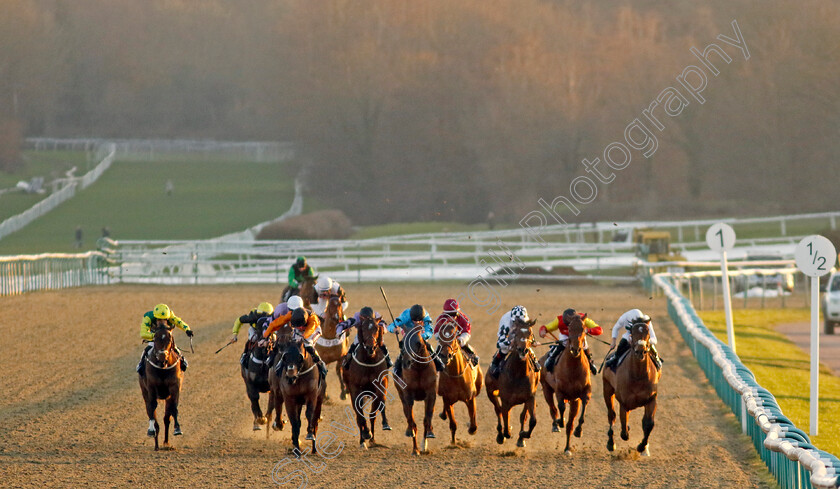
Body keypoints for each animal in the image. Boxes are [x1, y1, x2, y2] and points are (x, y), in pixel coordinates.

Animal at [342, 312, 392, 446]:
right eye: (363, 328)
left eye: (376, 328)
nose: (370, 347)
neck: (369, 361)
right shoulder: (355, 389)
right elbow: (359, 413)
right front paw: (365, 433)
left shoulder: (380, 385)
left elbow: (379, 404)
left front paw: (384, 424)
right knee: (358, 414)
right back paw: (363, 439)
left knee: (372, 415)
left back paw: (372, 438)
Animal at [398, 324, 440, 454]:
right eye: (403, 341)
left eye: (418, 342)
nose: (406, 362)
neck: (419, 368)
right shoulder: (408, 396)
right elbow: (412, 421)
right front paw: (415, 449)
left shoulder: (431, 394)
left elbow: (427, 419)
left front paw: (425, 444)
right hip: (401, 396)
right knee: (407, 416)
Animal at [486, 316, 540, 446]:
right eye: (515, 333)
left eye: (530, 333)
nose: (523, 349)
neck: (518, 374)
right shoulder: (505, 400)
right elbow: (504, 419)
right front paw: (505, 433)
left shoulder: (530, 397)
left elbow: (532, 420)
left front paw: (523, 435)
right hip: (491, 392)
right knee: (498, 410)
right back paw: (500, 435)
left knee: (522, 416)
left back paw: (520, 439)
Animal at [540, 312, 592, 454]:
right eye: (569, 329)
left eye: (583, 329)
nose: (575, 349)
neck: (573, 368)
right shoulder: (560, 391)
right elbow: (561, 407)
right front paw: (560, 422)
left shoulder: (582, 394)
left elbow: (584, 406)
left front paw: (579, 430)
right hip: (546, 388)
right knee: (553, 408)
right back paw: (556, 424)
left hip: (573, 400)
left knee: (570, 424)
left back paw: (567, 448)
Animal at [604, 320, 664, 454]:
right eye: (633, 332)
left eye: (648, 333)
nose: (640, 351)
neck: (637, 375)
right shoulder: (624, 403)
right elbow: (624, 431)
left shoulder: (651, 399)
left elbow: (648, 424)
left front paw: (642, 446)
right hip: (607, 390)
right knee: (611, 415)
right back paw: (611, 443)